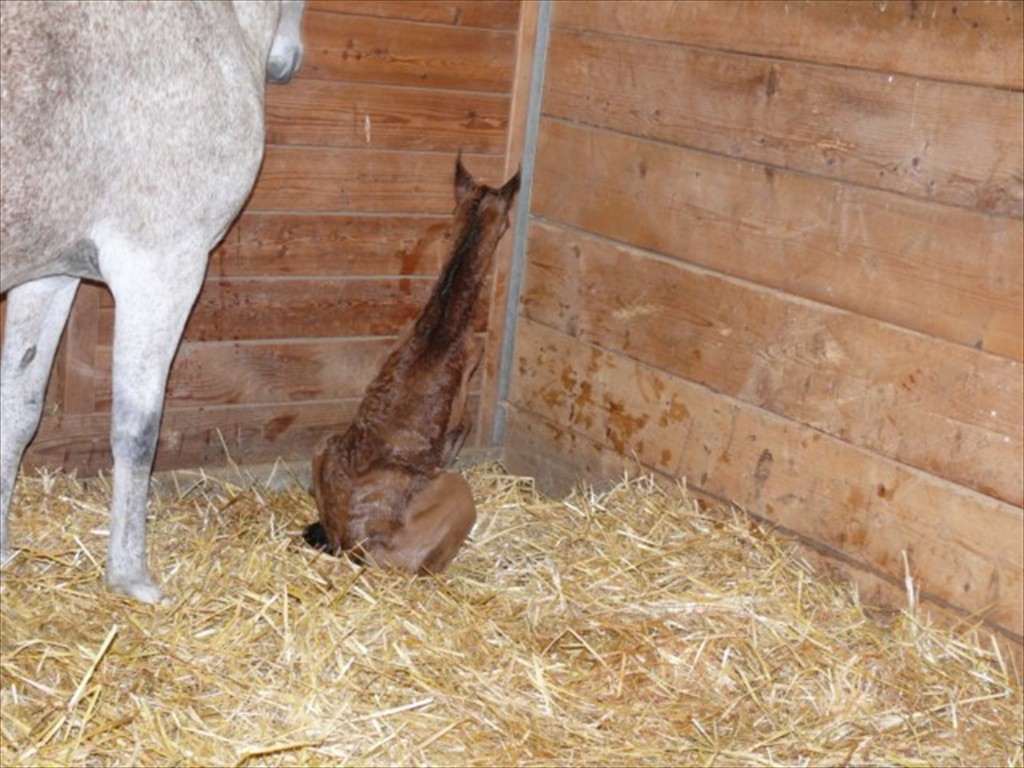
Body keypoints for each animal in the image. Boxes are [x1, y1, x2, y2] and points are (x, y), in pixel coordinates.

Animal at [1, 0, 303, 606]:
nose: (287, 64)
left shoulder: (49, 276)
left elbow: (16, 411)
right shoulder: (160, 268)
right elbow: (136, 430)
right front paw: (130, 574)